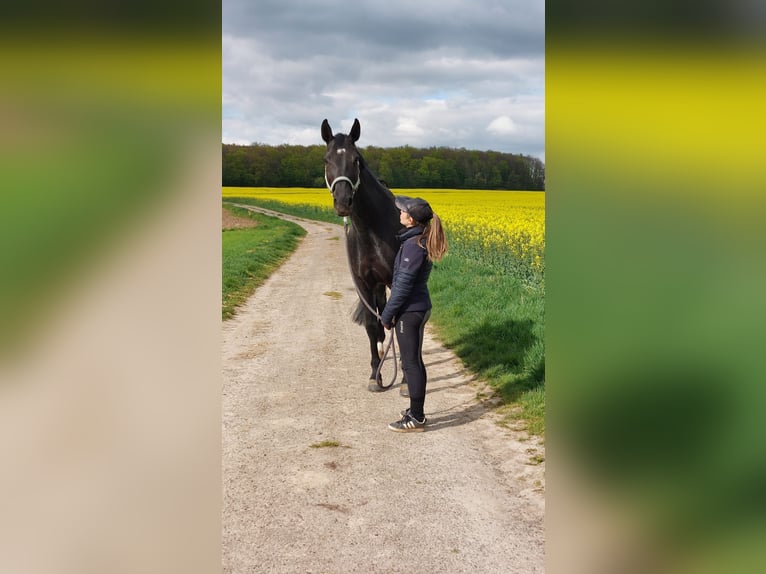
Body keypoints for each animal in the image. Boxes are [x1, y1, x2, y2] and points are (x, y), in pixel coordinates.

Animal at [320, 119, 402, 394]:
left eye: (356, 160)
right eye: (326, 159)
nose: (343, 202)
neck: (371, 230)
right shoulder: (363, 283)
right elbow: (370, 324)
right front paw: (375, 374)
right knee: (379, 316)